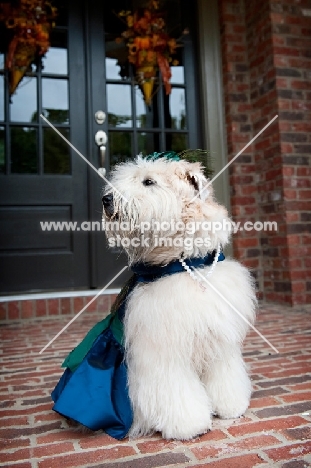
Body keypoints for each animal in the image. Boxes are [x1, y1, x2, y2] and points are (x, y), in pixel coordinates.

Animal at [103, 155, 258, 440]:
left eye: (148, 181)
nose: (106, 199)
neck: (185, 265)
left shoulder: (219, 339)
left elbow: (225, 375)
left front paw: (231, 405)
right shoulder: (162, 348)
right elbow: (175, 390)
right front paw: (189, 424)